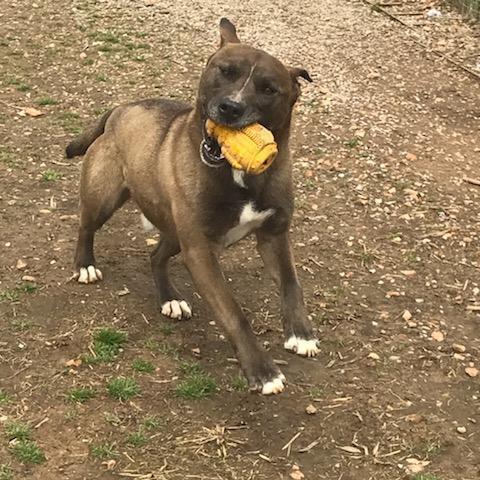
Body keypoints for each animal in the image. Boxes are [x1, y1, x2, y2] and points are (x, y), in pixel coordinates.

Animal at [64, 18, 318, 394]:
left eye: (269, 89)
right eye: (225, 71)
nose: (230, 107)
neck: (237, 174)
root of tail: (121, 109)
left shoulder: (273, 236)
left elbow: (290, 284)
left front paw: (301, 333)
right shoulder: (201, 251)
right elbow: (233, 312)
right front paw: (263, 371)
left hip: (174, 229)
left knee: (155, 256)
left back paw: (169, 298)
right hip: (105, 195)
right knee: (86, 225)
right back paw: (85, 265)